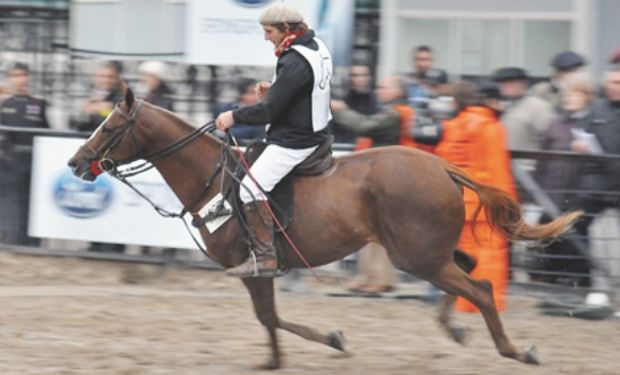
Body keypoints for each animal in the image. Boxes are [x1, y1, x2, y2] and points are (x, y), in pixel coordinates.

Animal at [69, 89, 580, 372]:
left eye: (110, 127)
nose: (76, 162)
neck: (210, 177)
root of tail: (440, 165)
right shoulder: (260, 272)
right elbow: (271, 319)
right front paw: (292, 354)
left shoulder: (254, 267)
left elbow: (269, 317)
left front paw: (318, 345)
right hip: (428, 252)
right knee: (470, 269)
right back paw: (454, 329)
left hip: (417, 256)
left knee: (481, 287)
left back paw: (514, 351)